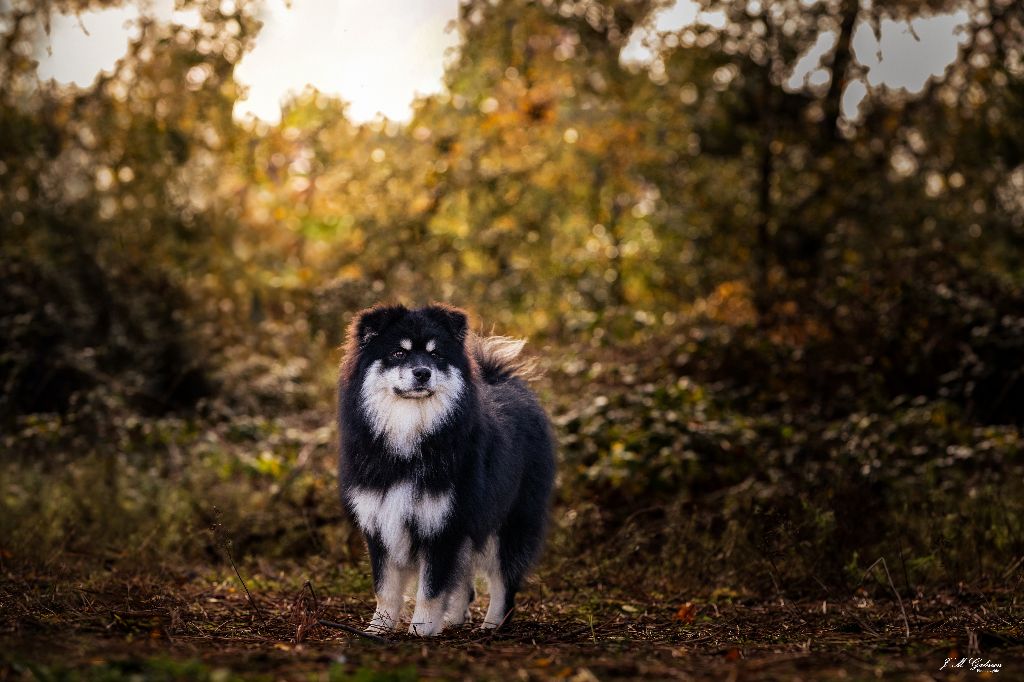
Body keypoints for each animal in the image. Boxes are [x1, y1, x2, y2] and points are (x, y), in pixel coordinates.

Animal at [337, 305, 557, 634]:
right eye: (398, 353)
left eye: (436, 354)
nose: (422, 372)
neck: (410, 434)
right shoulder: (381, 521)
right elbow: (385, 587)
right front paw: (378, 630)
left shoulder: (442, 525)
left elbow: (431, 588)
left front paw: (421, 629)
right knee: (465, 581)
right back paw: (453, 621)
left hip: (508, 523)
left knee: (503, 584)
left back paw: (491, 626)